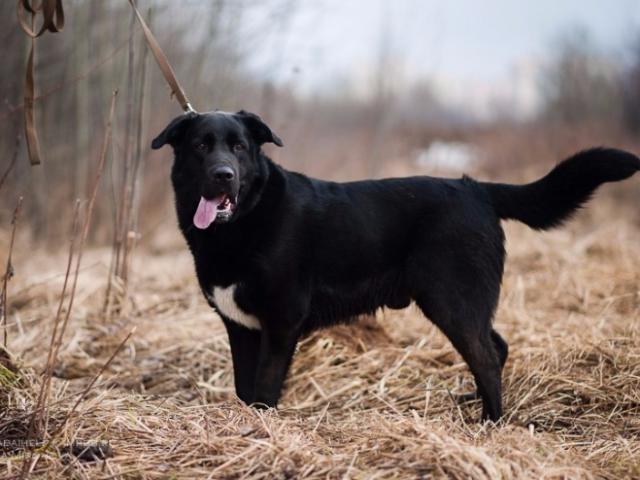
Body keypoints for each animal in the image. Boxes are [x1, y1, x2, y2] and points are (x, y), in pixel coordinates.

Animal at [151, 109, 640, 420]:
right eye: (201, 146)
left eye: (239, 147)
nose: (224, 175)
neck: (244, 221)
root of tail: (476, 188)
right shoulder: (240, 327)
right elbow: (244, 387)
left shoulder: (281, 321)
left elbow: (266, 389)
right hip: (465, 302)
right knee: (496, 347)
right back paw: (475, 408)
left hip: (452, 301)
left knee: (485, 355)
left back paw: (491, 425)